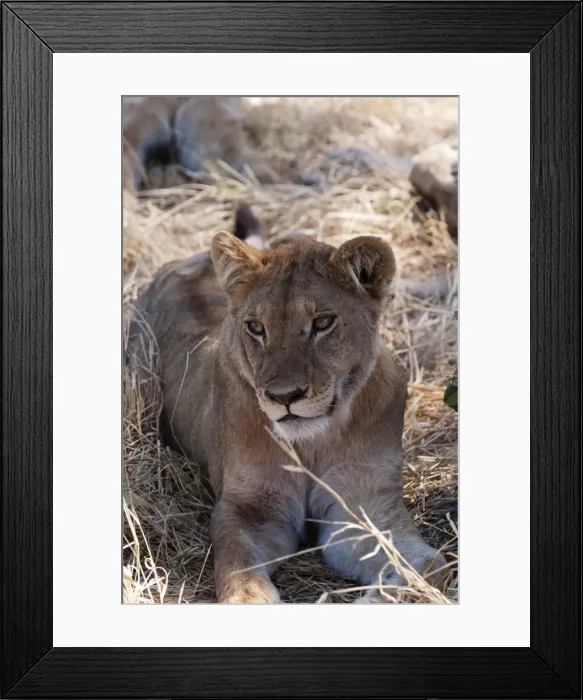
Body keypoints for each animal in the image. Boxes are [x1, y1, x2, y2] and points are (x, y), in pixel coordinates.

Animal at [127, 204, 446, 603]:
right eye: (256, 328)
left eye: (322, 322)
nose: (284, 397)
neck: (312, 443)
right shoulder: (249, 509)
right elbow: (238, 565)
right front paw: (251, 597)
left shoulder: (365, 507)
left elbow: (431, 564)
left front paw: (388, 592)